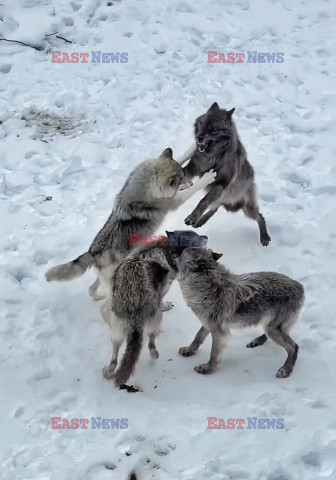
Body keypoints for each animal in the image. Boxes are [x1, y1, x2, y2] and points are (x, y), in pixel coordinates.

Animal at [45, 148, 215, 300]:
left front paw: (192, 149)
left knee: (91, 289)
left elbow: (181, 156)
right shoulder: (174, 201)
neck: (145, 185)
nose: (190, 182)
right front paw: (208, 177)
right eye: (180, 180)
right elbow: (191, 189)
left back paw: (99, 296)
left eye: (184, 175)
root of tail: (92, 252)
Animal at [100, 229, 206, 390]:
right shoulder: (163, 290)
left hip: (115, 333)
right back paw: (154, 354)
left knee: (114, 359)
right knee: (150, 343)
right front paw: (165, 306)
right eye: (196, 240)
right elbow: (161, 301)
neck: (168, 250)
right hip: (155, 320)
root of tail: (134, 308)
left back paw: (109, 372)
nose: (206, 237)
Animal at [177, 248, 304, 378]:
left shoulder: (220, 333)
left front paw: (207, 369)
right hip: (269, 325)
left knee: (294, 346)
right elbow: (198, 336)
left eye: (182, 254)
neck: (208, 285)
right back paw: (256, 341)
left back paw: (286, 369)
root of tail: (299, 286)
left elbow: (213, 355)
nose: (176, 251)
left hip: (273, 329)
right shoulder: (208, 324)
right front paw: (189, 349)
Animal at [180, 103, 272, 246]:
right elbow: (181, 172)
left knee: (260, 217)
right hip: (221, 198)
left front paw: (193, 217)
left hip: (247, 209)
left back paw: (264, 237)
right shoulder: (193, 168)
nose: (198, 137)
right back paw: (202, 220)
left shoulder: (221, 184)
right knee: (215, 207)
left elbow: (203, 201)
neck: (213, 156)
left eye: (213, 129)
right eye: (202, 125)